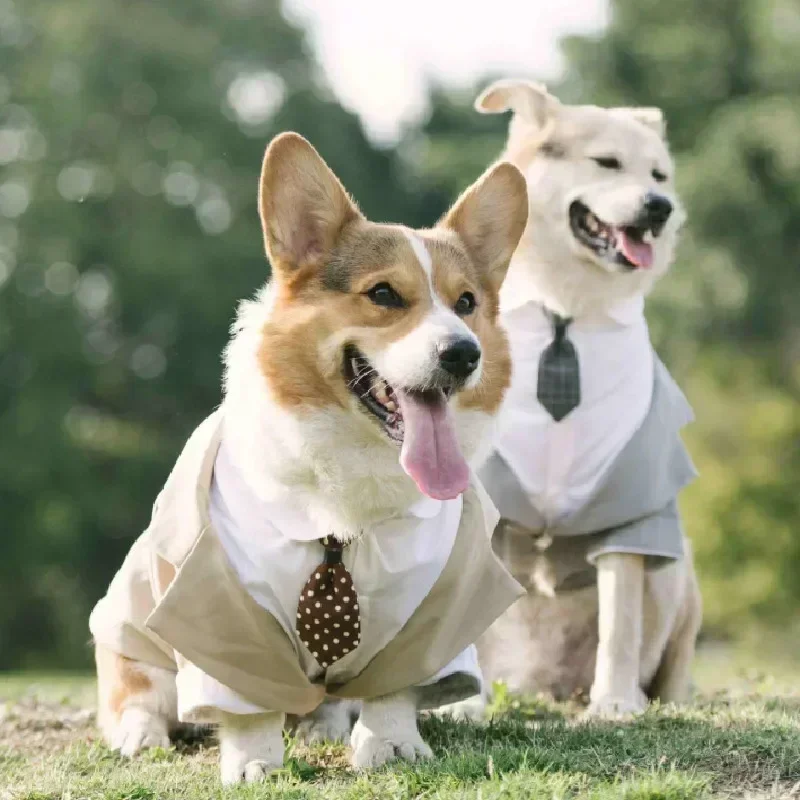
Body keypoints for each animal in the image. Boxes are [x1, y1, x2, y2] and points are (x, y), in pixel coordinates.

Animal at [94, 131, 528, 780]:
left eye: (468, 302)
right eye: (383, 294)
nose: (464, 354)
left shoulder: (431, 606)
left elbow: (394, 687)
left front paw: (391, 744)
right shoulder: (225, 608)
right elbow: (247, 701)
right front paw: (253, 762)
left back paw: (323, 723)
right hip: (134, 626)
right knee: (141, 693)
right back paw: (142, 735)